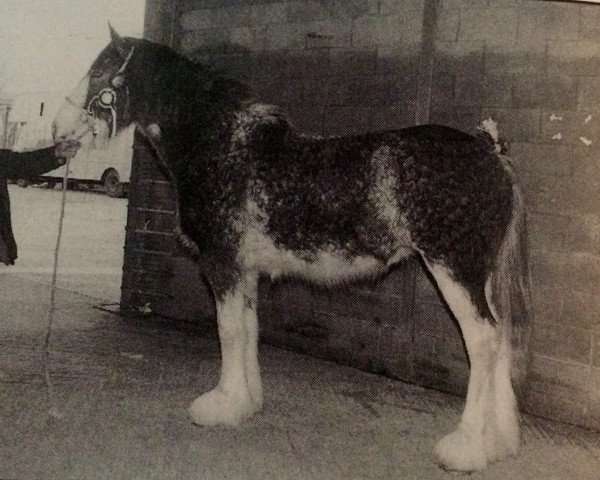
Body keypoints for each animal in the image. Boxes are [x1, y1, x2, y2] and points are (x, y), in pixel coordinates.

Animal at [51, 27, 528, 472]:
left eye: (101, 72)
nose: (58, 133)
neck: (223, 145)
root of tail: (490, 153)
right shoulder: (244, 271)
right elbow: (248, 328)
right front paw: (245, 403)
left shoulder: (222, 265)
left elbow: (228, 331)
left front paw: (220, 404)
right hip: (481, 276)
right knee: (501, 337)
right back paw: (499, 444)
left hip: (454, 269)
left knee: (483, 340)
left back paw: (465, 448)